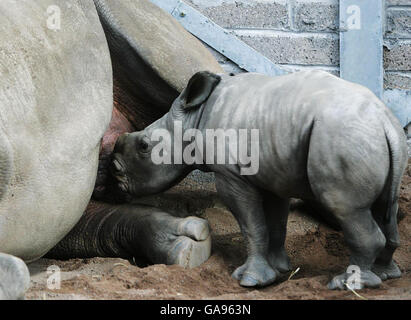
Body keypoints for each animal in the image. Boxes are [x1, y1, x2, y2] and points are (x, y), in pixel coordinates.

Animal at [110, 70, 408, 290]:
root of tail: (386, 123)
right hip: (372, 140)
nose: (115, 173)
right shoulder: (275, 173)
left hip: (341, 137)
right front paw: (279, 269)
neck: (193, 119)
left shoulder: (230, 174)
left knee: (347, 209)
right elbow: (275, 224)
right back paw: (385, 275)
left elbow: (252, 226)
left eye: (144, 146)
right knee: (386, 207)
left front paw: (250, 280)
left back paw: (347, 284)